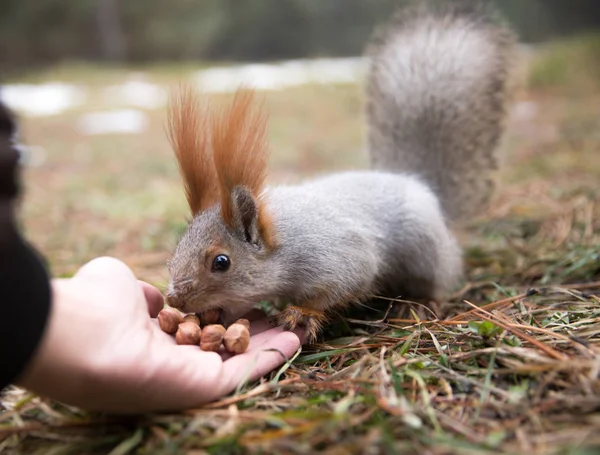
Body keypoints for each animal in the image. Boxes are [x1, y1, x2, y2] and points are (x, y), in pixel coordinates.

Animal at [163, 0, 516, 342]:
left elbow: (342, 285)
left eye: (221, 262)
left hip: (425, 250)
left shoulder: (339, 256)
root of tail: (417, 184)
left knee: (436, 278)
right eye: (178, 245)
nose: (173, 299)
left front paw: (302, 313)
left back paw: (419, 303)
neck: (283, 239)